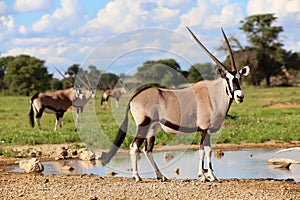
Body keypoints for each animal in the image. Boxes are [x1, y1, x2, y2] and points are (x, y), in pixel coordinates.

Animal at [99, 27, 251, 182]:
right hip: (143, 125)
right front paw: (206, 176)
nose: (240, 96)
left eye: (239, 78)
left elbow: (206, 150)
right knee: (134, 146)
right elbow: (204, 150)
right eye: (227, 78)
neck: (213, 94)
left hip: (152, 128)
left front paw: (209, 175)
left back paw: (161, 176)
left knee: (148, 149)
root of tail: (133, 98)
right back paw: (137, 177)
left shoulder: (204, 130)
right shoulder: (204, 129)